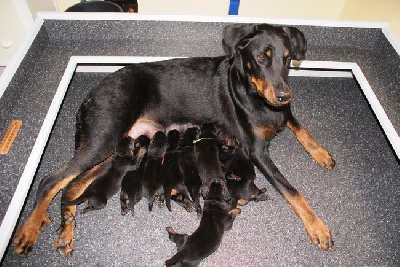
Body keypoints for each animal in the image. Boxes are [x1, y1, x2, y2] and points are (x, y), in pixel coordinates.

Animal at [13, 23, 334, 255]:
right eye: (260, 58)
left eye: (287, 59)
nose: (284, 94)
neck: (253, 93)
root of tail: (90, 94)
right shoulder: (256, 151)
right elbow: (291, 189)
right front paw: (317, 227)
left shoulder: (283, 113)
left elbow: (300, 126)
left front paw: (321, 153)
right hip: (104, 137)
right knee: (51, 181)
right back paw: (29, 231)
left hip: (112, 148)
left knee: (72, 186)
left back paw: (66, 231)